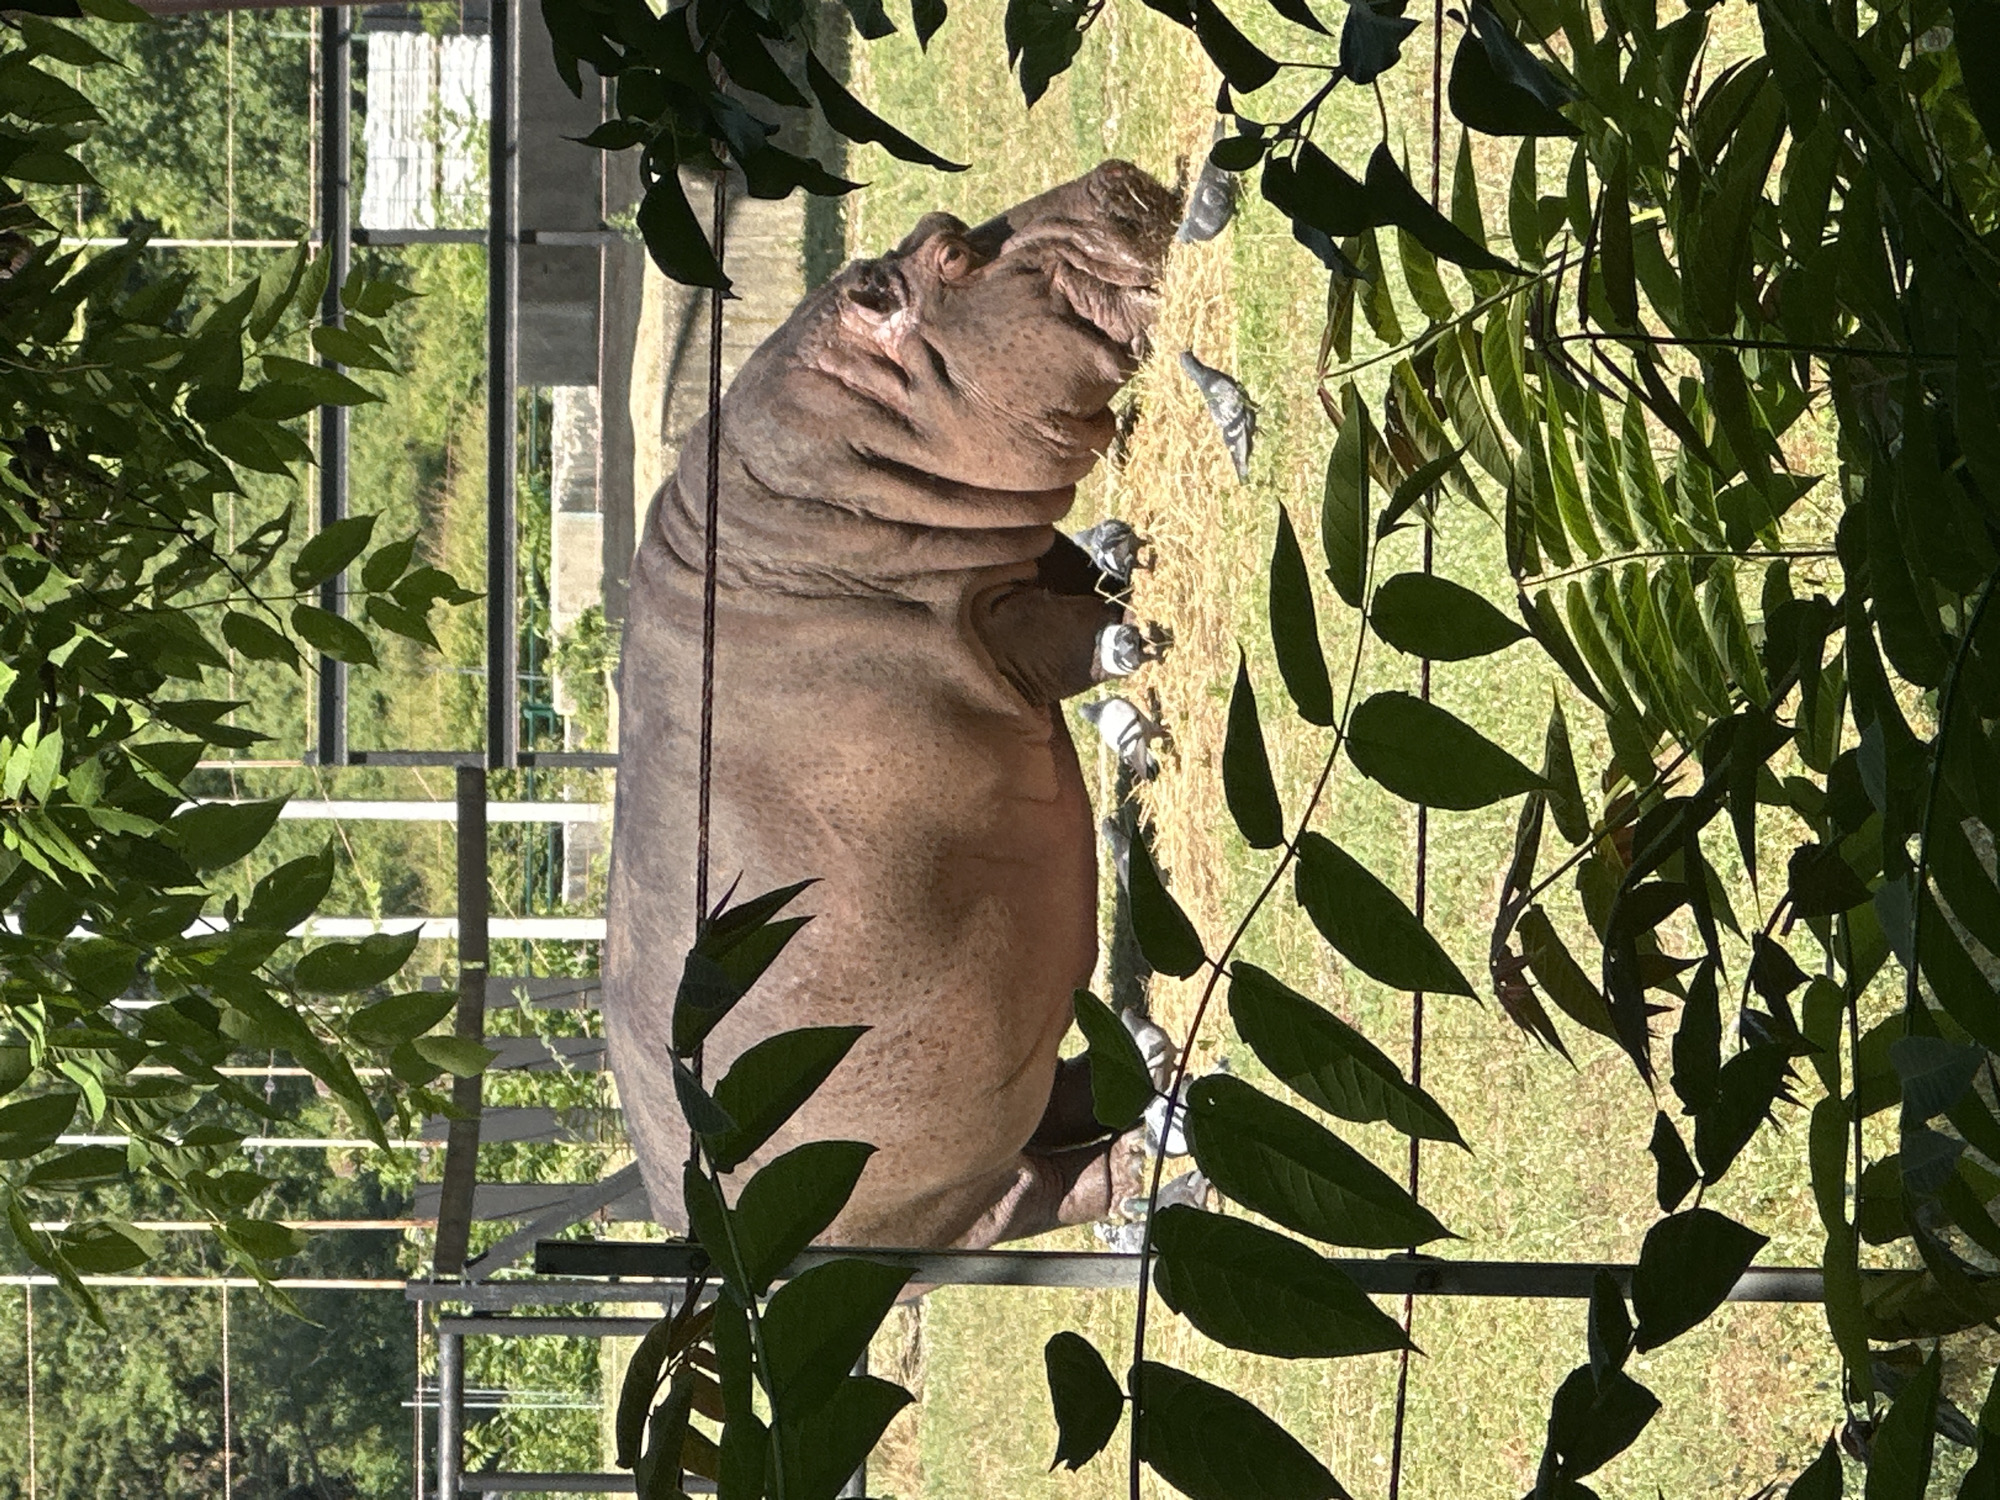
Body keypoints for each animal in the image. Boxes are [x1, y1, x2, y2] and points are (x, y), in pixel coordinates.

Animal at [604, 160, 1180, 1250]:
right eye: (956, 257)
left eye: (941, 225)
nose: (1119, 176)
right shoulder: (993, 626)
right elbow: (1066, 637)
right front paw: (1127, 636)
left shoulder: (1013, 556)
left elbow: (1072, 564)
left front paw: (1121, 554)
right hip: (954, 1194)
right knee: (1045, 1189)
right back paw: (1139, 1158)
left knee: (1059, 1103)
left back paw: (1157, 1061)